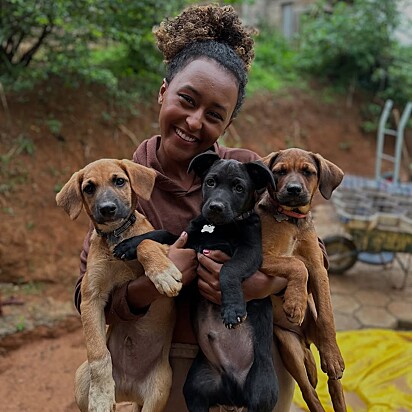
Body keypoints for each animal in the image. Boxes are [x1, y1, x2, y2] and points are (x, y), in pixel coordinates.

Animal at [56, 159, 182, 412]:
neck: (116, 235)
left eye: (119, 181)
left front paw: (163, 274)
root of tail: (129, 389)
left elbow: (144, 243)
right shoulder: (91, 297)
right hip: (81, 379)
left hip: (160, 390)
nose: (107, 209)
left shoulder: (167, 246)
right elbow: (98, 354)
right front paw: (101, 395)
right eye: (89, 188)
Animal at [114, 153, 278, 412]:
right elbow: (160, 233)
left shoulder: (249, 252)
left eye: (239, 188)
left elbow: (229, 271)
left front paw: (232, 309)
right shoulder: (188, 240)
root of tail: (233, 392)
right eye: (210, 182)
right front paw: (129, 245)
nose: (215, 207)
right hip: (197, 385)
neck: (216, 228)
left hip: (260, 388)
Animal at [258, 149, 348, 412]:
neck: (292, 220)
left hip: (314, 336)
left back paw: (332, 361)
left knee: (334, 383)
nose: (294, 190)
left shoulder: (319, 268)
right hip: (289, 347)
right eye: (279, 172)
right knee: (309, 392)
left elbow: (327, 315)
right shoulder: (261, 256)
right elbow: (296, 265)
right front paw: (295, 304)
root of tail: (305, 338)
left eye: (308, 172)